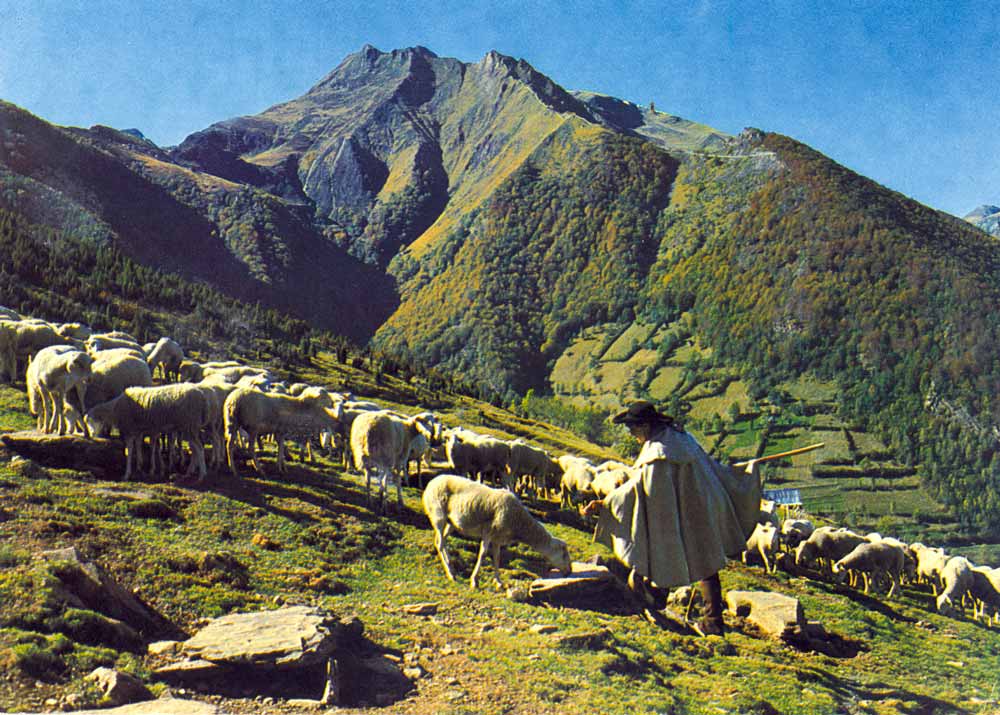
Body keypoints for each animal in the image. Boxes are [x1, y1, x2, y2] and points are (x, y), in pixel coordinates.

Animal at [420, 476, 572, 588]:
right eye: (564, 554)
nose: (569, 571)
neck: (519, 522)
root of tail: (432, 482)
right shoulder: (489, 532)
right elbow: (482, 554)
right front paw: (474, 580)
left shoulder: (498, 538)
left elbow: (497, 557)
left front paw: (498, 581)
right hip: (438, 514)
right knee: (440, 543)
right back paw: (450, 573)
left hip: (451, 522)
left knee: (440, 541)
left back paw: (451, 566)